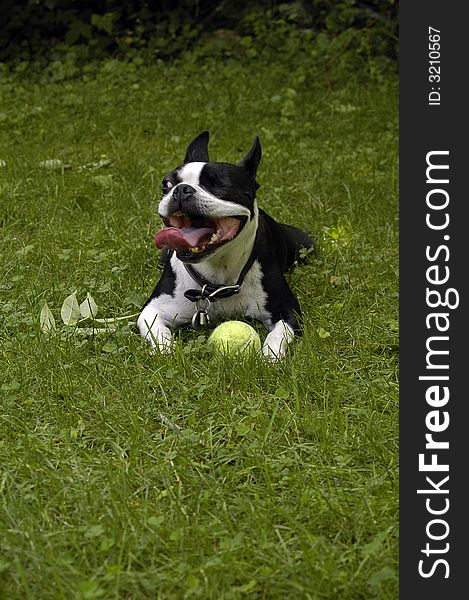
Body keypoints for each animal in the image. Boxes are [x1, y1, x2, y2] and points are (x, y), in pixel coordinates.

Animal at [137, 130, 312, 360]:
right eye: (166, 184)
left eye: (219, 184)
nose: (181, 189)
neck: (218, 272)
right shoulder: (153, 309)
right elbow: (157, 331)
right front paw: (168, 351)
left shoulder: (288, 311)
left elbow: (278, 334)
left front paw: (269, 356)